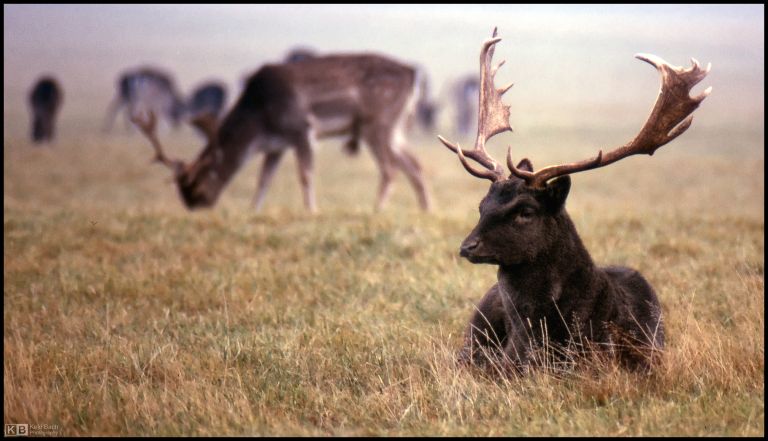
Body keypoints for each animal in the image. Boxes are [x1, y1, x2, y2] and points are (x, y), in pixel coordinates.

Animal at [131, 53, 432, 212]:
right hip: (392, 129)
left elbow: (305, 175)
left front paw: (311, 212)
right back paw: (426, 208)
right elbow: (264, 180)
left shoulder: (302, 128)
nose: (196, 205)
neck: (259, 121)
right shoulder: (276, 145)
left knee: (391, 168)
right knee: (414, 164)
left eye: (196, 183)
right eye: (181, 190)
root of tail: (412, 73)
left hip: (378, 124)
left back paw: (376, 210)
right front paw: (253, 211)